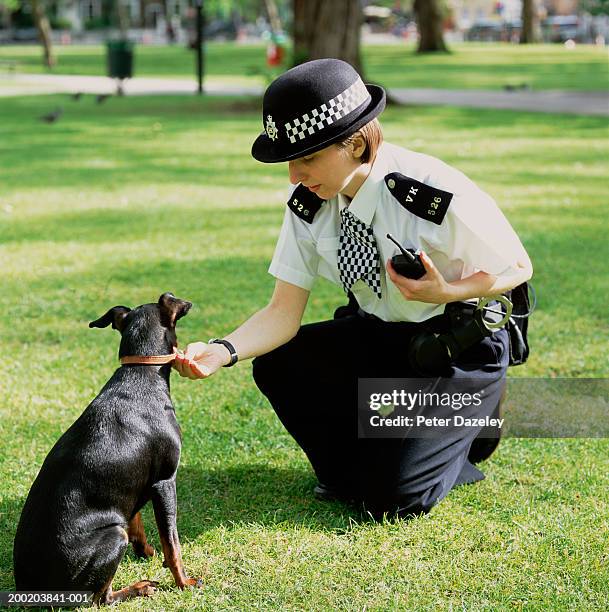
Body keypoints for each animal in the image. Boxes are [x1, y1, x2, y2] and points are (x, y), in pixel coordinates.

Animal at [13, 294, 201, 604]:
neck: (141, 372)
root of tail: (28, 589)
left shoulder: (133, 487)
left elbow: (137, 522)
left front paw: (146, 553)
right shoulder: (164, 482)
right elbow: (172, 543)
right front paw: (184, 581)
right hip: (114, 535)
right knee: (101, 598)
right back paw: (139, 587)